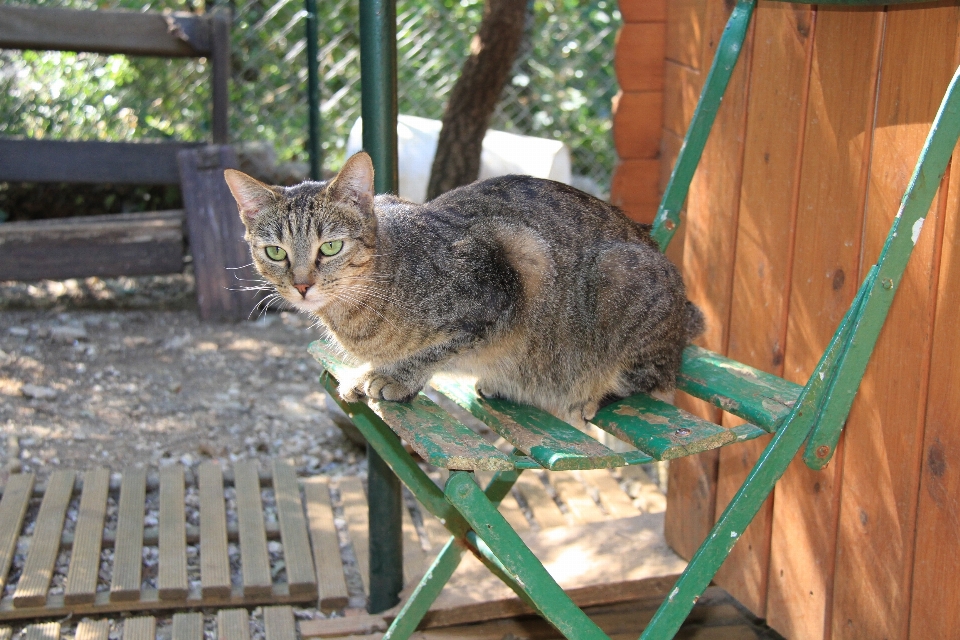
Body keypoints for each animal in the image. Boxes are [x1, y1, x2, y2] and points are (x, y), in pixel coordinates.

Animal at [225, 152, 704, 428]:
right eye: (275, 252)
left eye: (330, 247)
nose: (302, 285)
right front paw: (367, 371)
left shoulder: (506, 283)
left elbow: (437, 350)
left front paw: (396, 376)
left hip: (618, 276)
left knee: (653, 379)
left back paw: (592, 395)